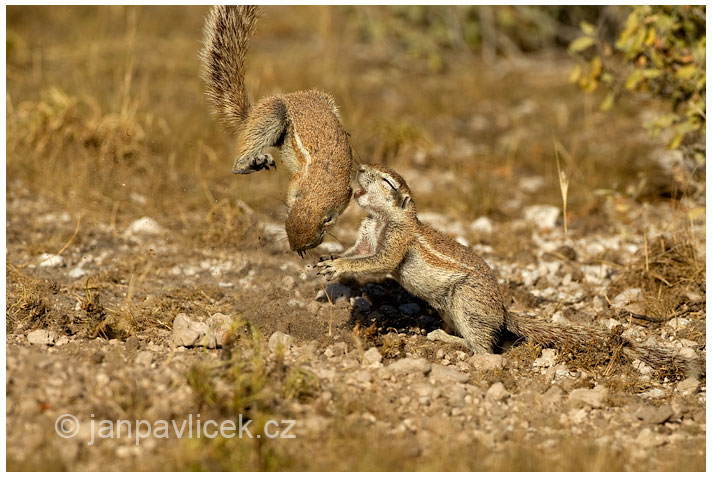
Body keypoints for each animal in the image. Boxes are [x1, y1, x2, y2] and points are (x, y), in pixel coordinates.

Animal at [199, 5, 354, 256]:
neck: (321, 184)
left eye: (324, 225)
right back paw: (252, 161)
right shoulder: (300, 179)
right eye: (287, 219)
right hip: (273, 115)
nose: (296, 249)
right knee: (242, 157)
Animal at [318, 164, 700, 378]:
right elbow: (359, 253)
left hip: (467, 304)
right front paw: (330, 261)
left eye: (388, 181)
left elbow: (379, 262)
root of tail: (502, 312)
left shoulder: (397, 240)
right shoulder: (367, 236)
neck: (383, 219)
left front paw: (337, 264)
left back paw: (445, 340)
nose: (360, 166)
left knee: (484, 350)